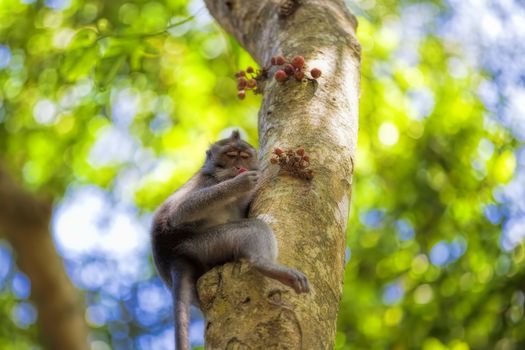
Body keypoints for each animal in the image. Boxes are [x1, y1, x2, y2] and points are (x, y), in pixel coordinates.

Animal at [149, 130, 310, 348]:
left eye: (244, 156)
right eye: (231, 155)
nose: (237, 166)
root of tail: (172, 257)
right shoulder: (206, 182)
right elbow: (179, 213)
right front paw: (239, 184)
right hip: (203, 244)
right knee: (255, 228)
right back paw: (265, 264)